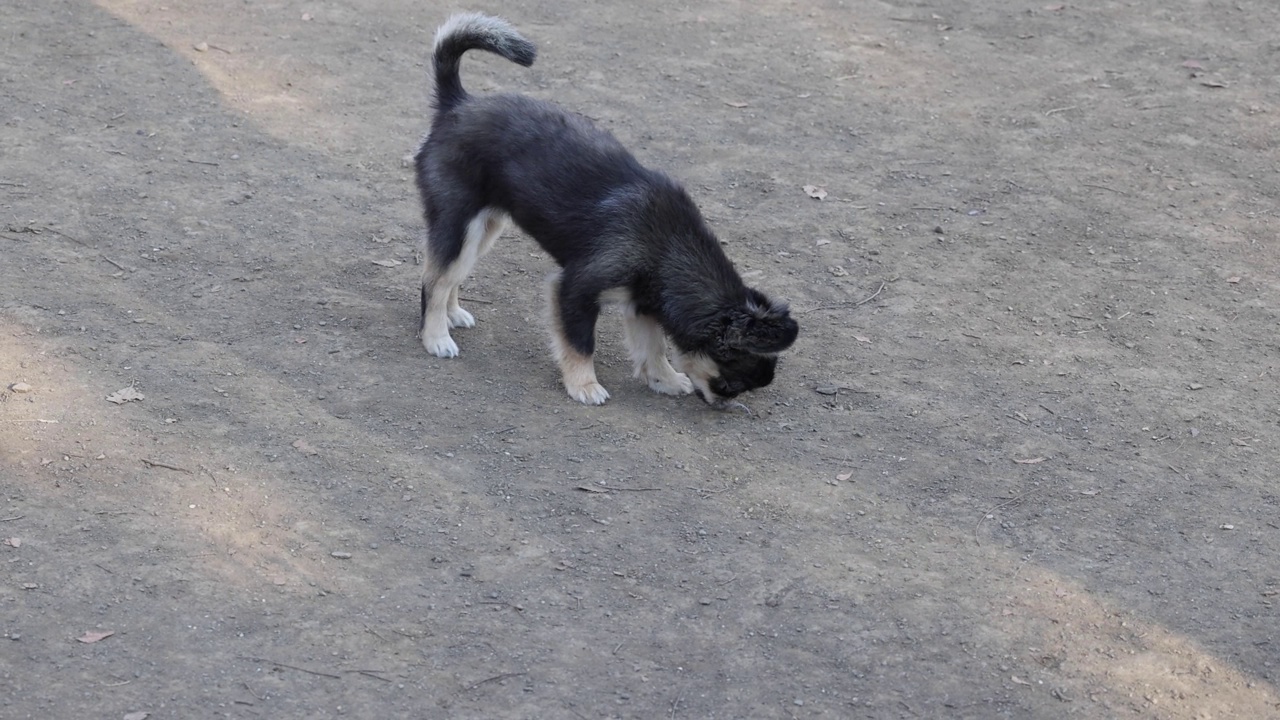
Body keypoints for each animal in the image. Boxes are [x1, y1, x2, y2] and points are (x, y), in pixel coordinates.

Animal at [417, 12, 798, 404]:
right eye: (732, 384)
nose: (723, 405)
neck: (667, 246)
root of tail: (457, 104)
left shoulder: (643, 304)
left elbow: (653, 347)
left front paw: (663, 379)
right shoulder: (575, 290)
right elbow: (582, 343)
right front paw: (584, 385)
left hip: (483, 230)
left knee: (451, 275)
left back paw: (452, 315)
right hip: (458, 225)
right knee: (434, 281)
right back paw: (436, 337)